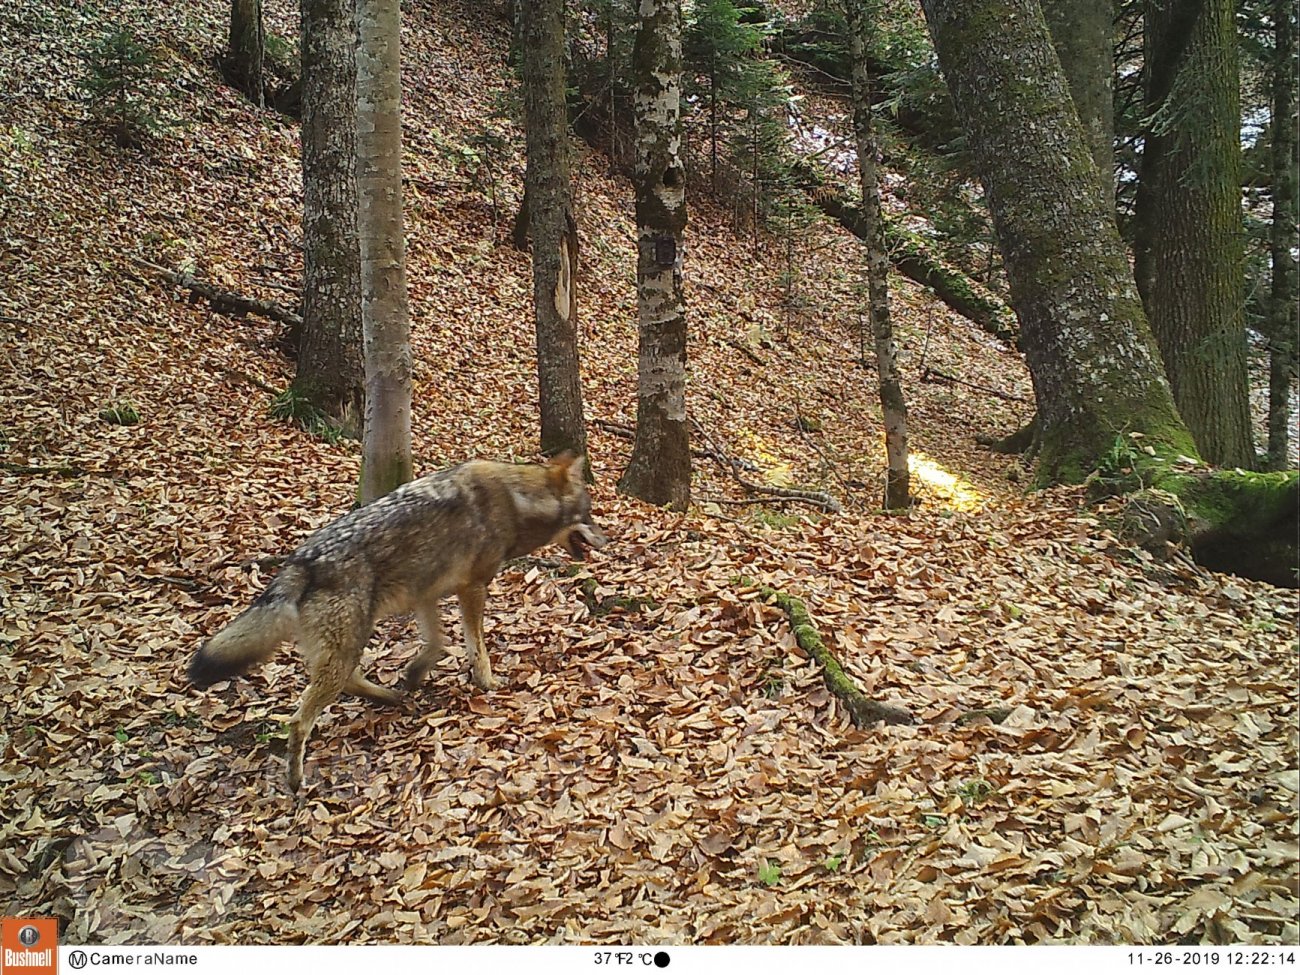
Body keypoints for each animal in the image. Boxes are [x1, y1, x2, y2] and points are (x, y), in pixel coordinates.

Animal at [188, 454, 608, 795]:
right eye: (589, 516)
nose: (608, 540)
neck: (517, 500)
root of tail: (301, 561)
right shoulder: (472, 589)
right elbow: (477, 647)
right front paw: (487, 683)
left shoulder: (427, 594)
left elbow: (438, 643)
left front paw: (414, 673)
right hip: (347, 646)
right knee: (299, 720)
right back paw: (296, 780)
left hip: (345, 645)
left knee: (347, 682)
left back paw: (389, 696)